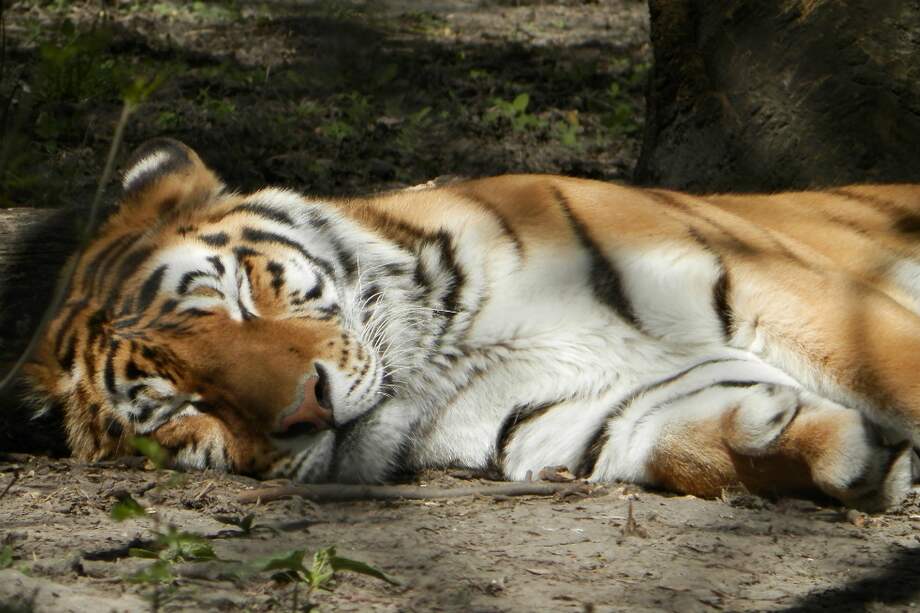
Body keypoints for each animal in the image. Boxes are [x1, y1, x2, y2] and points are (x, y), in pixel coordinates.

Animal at [22, 138, 920, 511]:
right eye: (184, 406)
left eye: (243, 295)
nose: (309, 409)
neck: (446, 349)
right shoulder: (588, 413)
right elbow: (694, 443)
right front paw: (850, 455)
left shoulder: (766, 280)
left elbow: (893, 369)